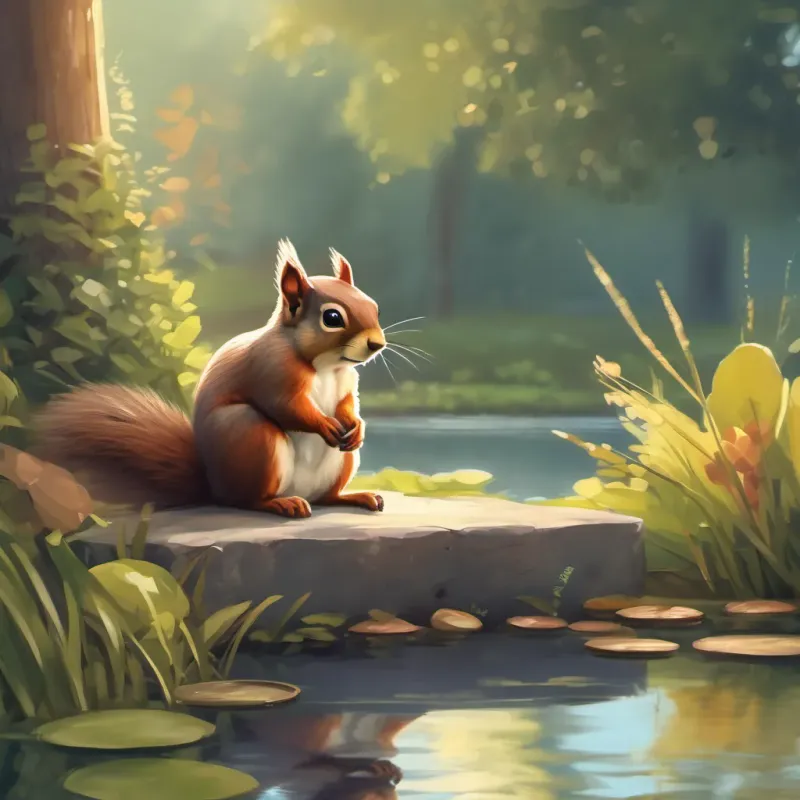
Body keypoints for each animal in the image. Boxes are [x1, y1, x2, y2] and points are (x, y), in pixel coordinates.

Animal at [33, 239, 386, 519]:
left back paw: (357, 495)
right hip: (251, 436)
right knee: (246, 500)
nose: (377, 344)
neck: (326, 366)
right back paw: (280, 504)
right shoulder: (272, 369)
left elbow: (347, 404)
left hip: (341, 463)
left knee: (327, 496)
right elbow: (287, 407)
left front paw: (356, 426)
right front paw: (325, 425)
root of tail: (212, 486)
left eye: (375, 307)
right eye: (332, 317)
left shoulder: (345, 383)